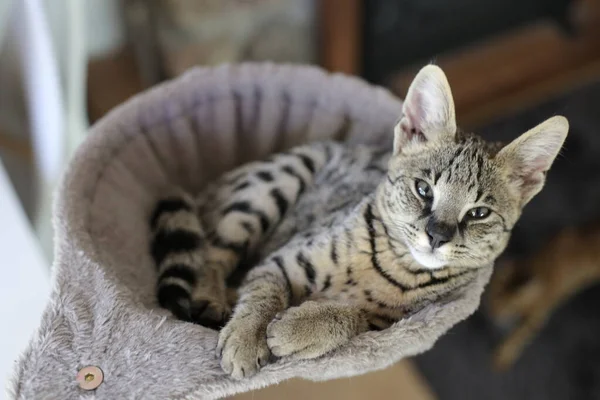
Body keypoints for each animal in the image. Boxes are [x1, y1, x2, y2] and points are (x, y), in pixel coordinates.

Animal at [149, 65, 568, 378]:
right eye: (423, 189)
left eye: (478, 213)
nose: (436, 235)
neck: (394, 265)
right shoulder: (279, 260)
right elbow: (264, 292)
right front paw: (247, 336)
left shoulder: (391, 326)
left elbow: (351, 317)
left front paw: (297, 329)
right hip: (275, 182)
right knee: (213, 254)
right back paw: (212, 298)